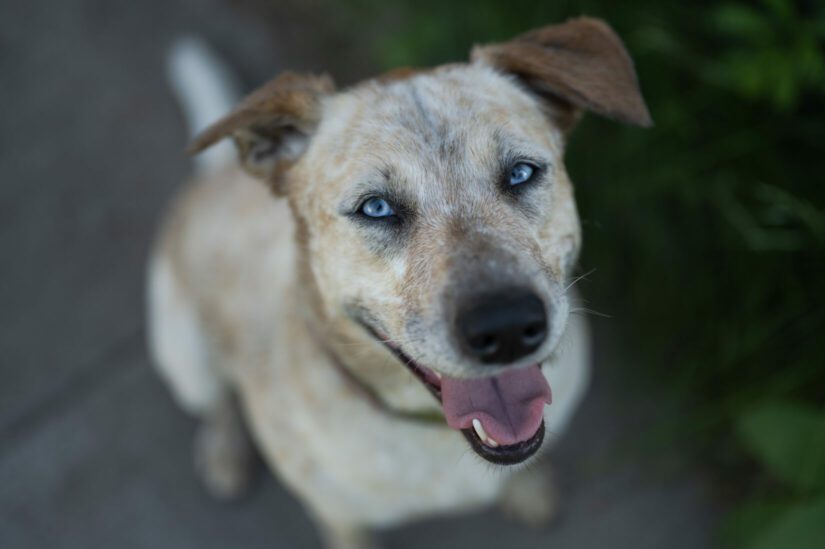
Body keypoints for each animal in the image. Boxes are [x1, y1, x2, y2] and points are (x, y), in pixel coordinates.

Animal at [148, 18, 652, 548]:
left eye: (520, 173)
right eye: (376, 207)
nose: (508, 328)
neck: (432, 432)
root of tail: (218, 173)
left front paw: (529, 489)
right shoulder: (338, 515)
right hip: (183, 355)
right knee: (216, 402)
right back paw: (223, 450)